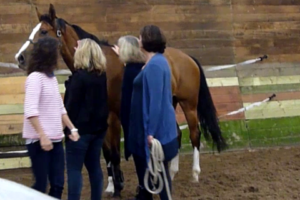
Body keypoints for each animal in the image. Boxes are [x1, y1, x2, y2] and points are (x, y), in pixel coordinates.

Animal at [14, 3, 225, 198]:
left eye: (43, 31)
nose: (20, 57)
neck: (99, 63)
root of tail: (187, 57)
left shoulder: (112, 116)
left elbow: (115, 152)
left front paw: (118, 188)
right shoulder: (102, 118)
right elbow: (106, 152)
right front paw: (111, 185)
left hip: (189, 104)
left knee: (194, 134)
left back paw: (194, 174)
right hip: (168, 104)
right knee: (175, 134)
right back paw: (170, 173)